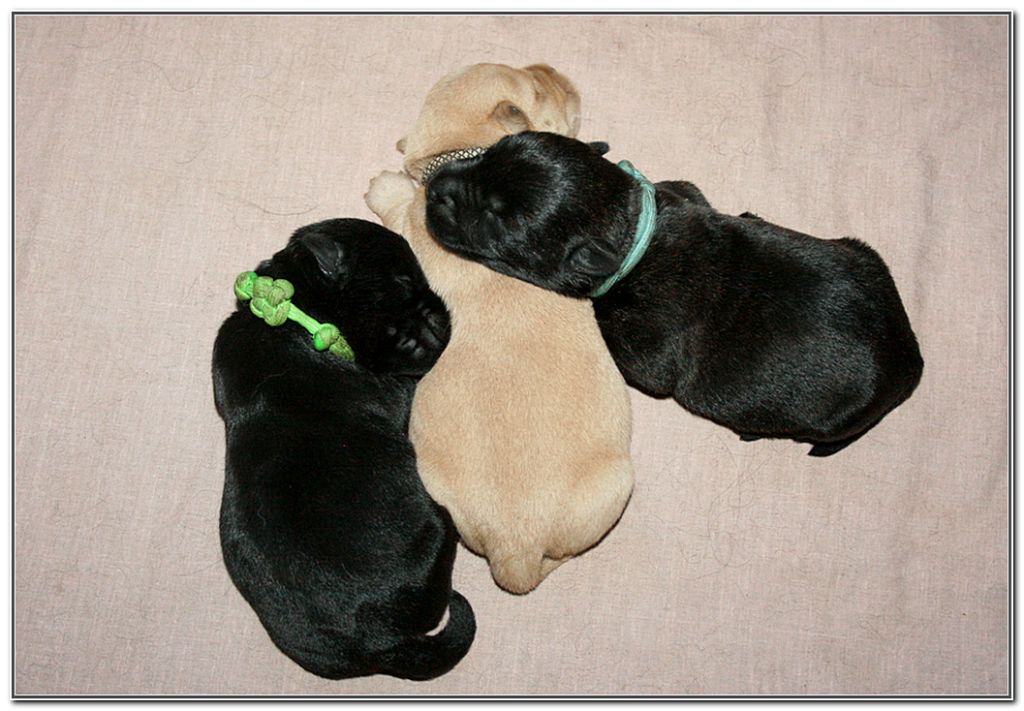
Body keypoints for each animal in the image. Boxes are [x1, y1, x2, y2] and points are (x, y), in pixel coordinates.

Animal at [212, 218, 474, 680]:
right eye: (404, 282)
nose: (435, 308)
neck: (297, 314)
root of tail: (379, 643)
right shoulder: (392, 387)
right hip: (437, 529)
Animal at [424, 131, 924, 457]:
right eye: (493, 149)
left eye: (497, 221)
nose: (434, 189)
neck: (632, 234)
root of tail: (910, 360)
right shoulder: (682, 190)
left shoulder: (648, 354)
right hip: (864, 254)